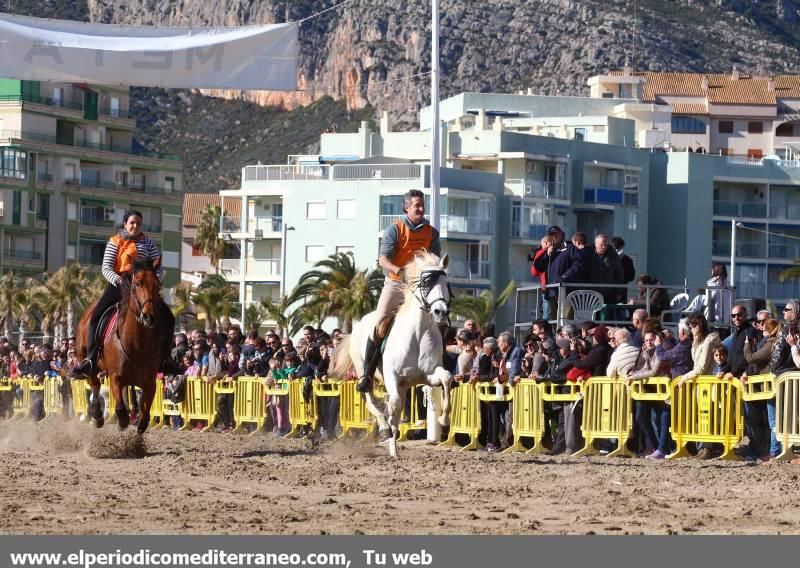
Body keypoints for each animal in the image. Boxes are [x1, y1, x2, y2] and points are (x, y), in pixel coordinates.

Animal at [76, 260, 167, 432]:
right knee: (94, 384)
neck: (137, 345)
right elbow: (120, 410)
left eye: (158, 284)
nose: (149, 316)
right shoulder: (115, 377)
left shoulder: (150, 382)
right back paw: (97, 416)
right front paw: (120, 421)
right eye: (137, 283)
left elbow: (144, 418)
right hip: (85, 359)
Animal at [334, 253, 454, 458]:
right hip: (363, 372)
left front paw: (444, 419)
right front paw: (388, 433)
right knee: (371, 401)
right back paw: (384, 429)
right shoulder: (392, 376)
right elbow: (394, 406)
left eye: (446, 283)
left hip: (404, 385)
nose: (440, 312)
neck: (418, 333)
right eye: (426, 282)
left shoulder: (429, 375)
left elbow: (447, 378)